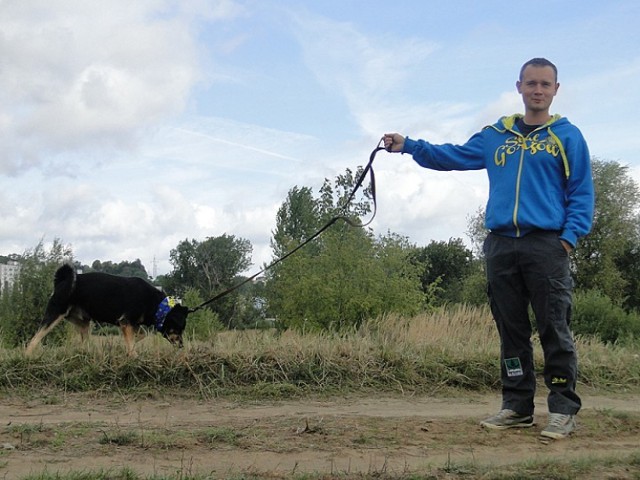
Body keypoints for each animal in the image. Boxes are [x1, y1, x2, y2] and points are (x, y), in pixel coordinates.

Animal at [25, 264, 190, 354]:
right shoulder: (126, 322)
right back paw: (27, 356)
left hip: (83, 324)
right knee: (33, 340)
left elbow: (141, 335)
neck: (158, 306)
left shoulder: (130, 324)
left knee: (84, 343)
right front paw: (133, 356)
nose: (182, 346)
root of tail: (61, 281)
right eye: (177, 329)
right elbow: (133, 343)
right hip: (54, 315)